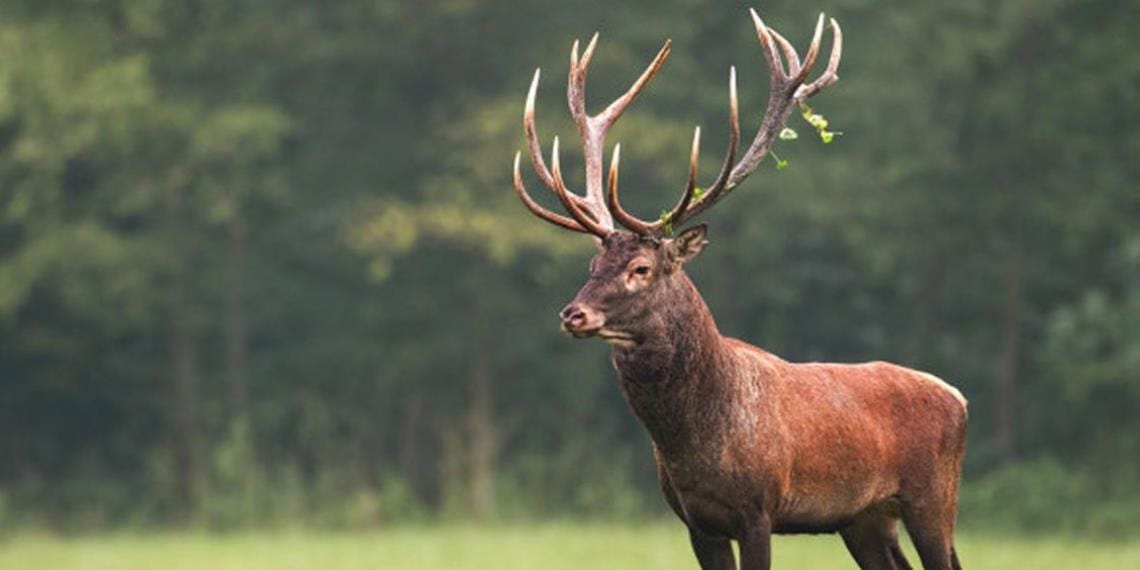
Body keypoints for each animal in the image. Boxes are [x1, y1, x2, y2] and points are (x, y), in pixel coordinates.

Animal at [513, 7, 966, 570]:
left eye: (641, 267)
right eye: (593, 262)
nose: (573, 314)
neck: (695, 444)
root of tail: (958, 397)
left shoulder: (759, 508)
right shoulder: (695, 520)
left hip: (934, 497)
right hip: (864, 518)